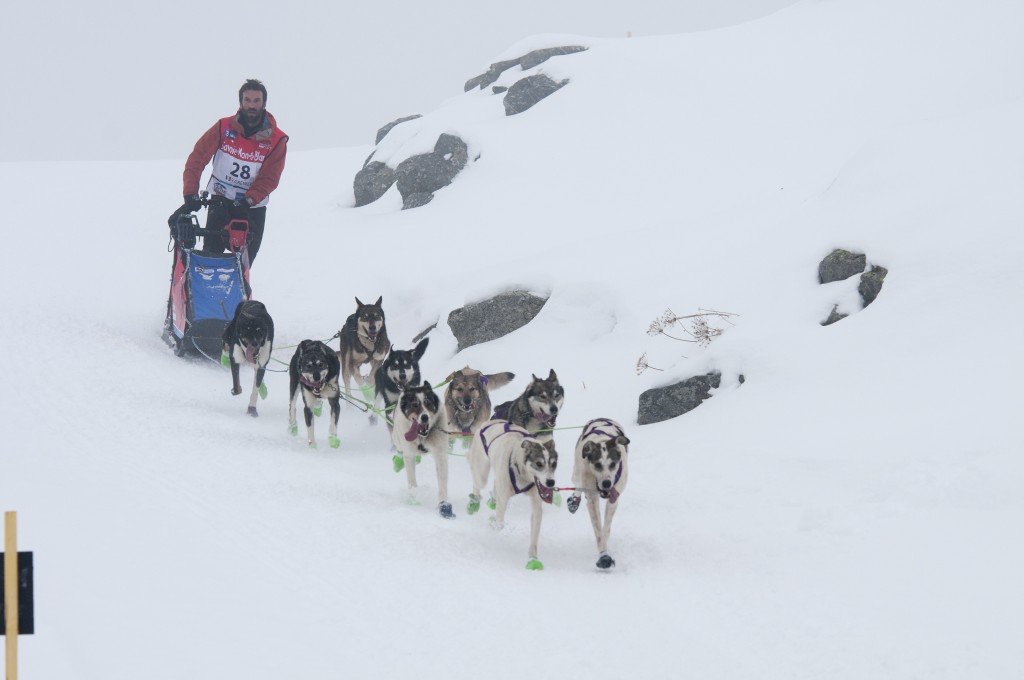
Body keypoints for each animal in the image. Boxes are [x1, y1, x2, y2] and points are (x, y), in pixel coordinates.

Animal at [389, 378, 454, 518]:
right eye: (415, 405)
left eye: (428, 403)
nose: (425, 417)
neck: (422, 437)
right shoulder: (409, 455)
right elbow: (412, 480)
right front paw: (414, 498)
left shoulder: (440, 453)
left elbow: (442, 479)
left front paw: (444, 505)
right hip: (397, 438)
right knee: (399, 449)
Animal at [466, 419, 557, 569]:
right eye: (539, 463)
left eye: (553, 464)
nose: (551, 482)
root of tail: (490, 421)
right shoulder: (503, 499)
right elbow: (500, 523)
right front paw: (495, 528)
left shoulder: (536, 503)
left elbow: (535, 532)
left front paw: (532, 558)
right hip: (481, 472)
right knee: (478, 485)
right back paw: (474, 503)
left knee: (494, 489)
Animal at [569, 419, 630, 569]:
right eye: (597, 465)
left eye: (613, 464)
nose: (607, 483)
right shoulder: (592, 498)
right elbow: (598, 529)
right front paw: (604, 556)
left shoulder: (614, 499)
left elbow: (605, 528)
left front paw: (605, 548)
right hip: (576, 471)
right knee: (577, 484)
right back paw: (573, 500)